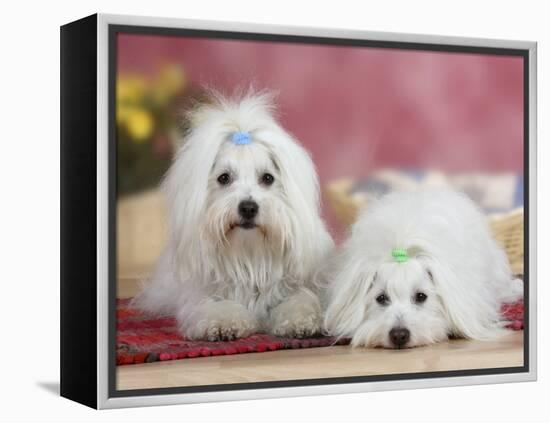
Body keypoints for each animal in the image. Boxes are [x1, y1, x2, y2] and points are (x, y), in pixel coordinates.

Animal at [134, 92, 334, 342]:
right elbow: (218, 307)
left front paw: (301, 322)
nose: (248, 207)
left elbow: (300, 301)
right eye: (224, 178)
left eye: (267, 178)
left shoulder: (296, 286)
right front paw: (224, 324)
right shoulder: (203, 296)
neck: (249, 256)